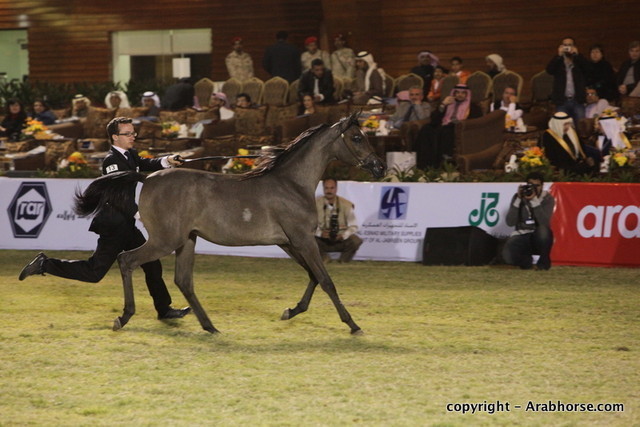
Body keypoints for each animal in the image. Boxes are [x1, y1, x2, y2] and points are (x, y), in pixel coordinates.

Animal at [75, 112, 385, 334]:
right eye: (357, 137)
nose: (379, 167)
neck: (291, 183)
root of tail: (145, 176)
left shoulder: (289, 242)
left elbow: (313, 276)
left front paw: (291, 311)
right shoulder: (302, 239)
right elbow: (326, 280)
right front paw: (353, 325)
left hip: (187, 239)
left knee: (183, 280)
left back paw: (209, 326)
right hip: (166, 240)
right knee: (127, 260)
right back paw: (124, 316)